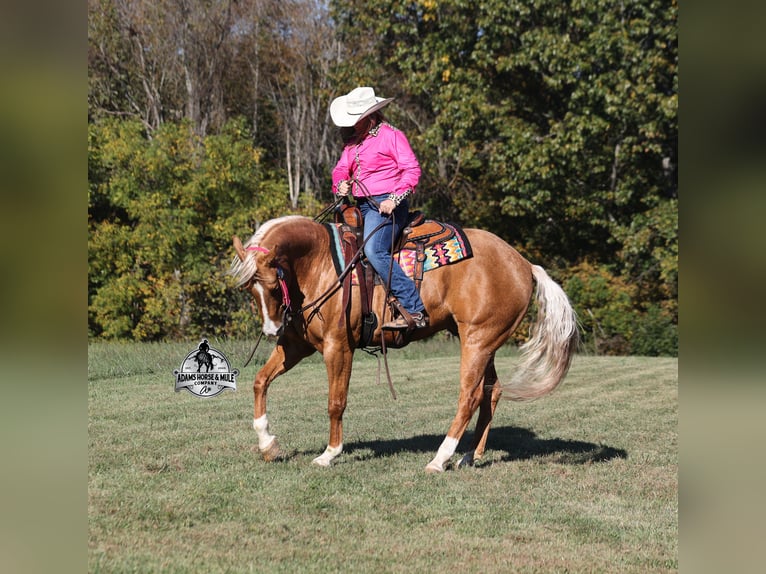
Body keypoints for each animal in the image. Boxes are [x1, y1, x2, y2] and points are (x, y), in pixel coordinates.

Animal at [229, 214, 578, 472]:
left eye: (274, 285)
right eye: (249, 289)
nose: (271, 329)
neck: (321, 263)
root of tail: (524, 264)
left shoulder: (338, 347)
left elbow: (335, 402)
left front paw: (329, 454)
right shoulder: (296, 346)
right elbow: (260, 382)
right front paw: (268, 445)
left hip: (478, 340)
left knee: (469, 395)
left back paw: (440, 459)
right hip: (485, 341)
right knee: (491, 392)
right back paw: (469, 456)